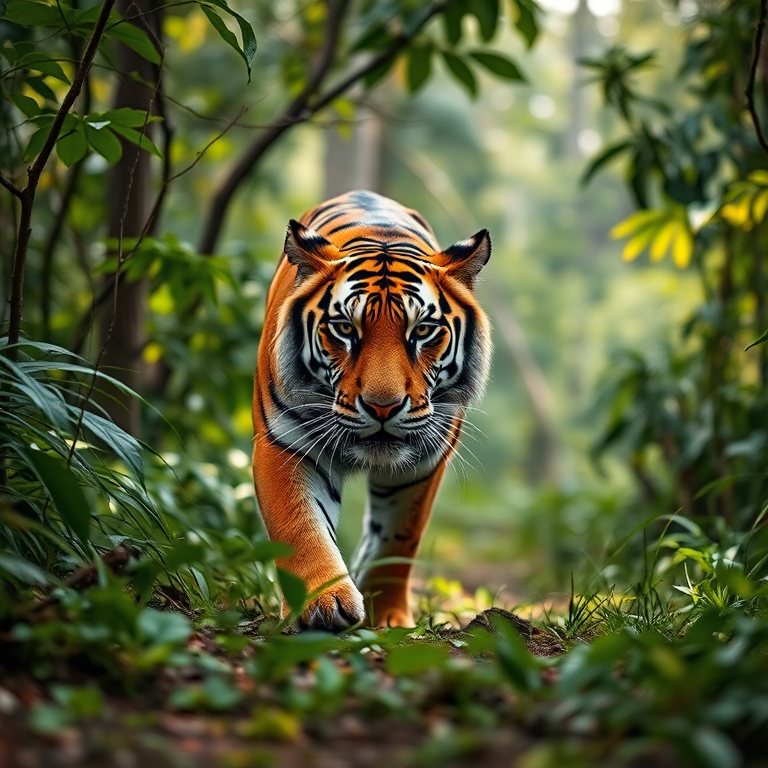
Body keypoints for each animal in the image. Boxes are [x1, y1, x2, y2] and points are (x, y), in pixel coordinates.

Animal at [252, 190, 491, 630]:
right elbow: (300, 526)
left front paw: (388, 615)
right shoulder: (285, 445)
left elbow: (399, 537)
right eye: (345, 329)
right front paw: (323, 603)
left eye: (422, 331)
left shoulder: (425, 461)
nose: (384, 407)